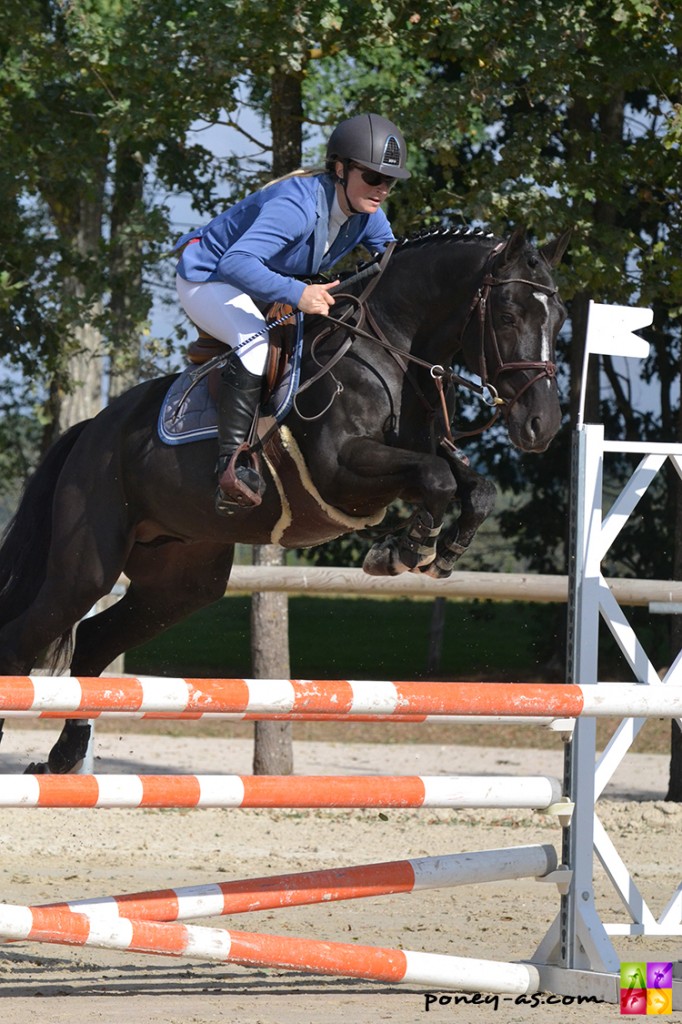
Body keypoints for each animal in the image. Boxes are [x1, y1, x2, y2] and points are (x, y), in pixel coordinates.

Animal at [0, 224, 565, 770]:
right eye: (509, 315)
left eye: (559, 321)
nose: (543, 426)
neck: (388, 351)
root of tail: (91, 430)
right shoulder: (342, 471)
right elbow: (438, 480)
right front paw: (404, 549)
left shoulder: (423, 454)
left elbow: (475, 488)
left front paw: (433, 552)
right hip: (84, 570)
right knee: (23, 641)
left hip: (181, 582)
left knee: (94, 641)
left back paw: (64, 757)